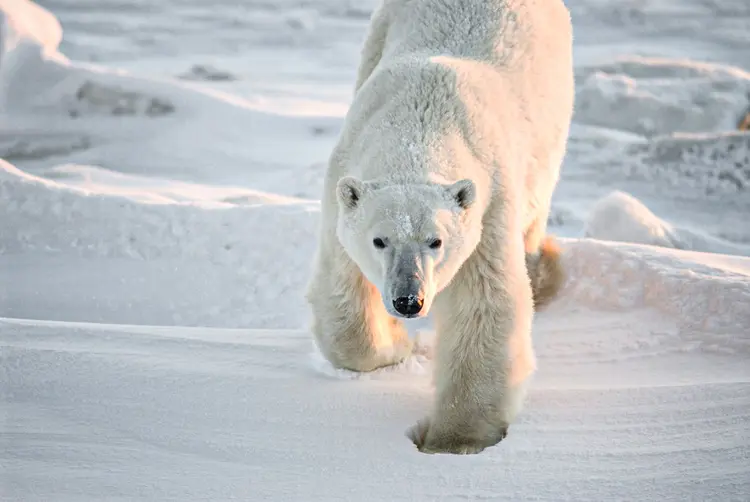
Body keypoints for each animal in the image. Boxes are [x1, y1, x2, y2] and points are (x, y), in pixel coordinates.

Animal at [306, 0, 576, 454]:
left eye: (436, 241)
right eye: (379, 240)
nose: (408, 301)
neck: (422, 116)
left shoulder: (490, 202)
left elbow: (484, 304)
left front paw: (453, 440)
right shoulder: (341, 182)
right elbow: (342, 289)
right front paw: (395, 344)